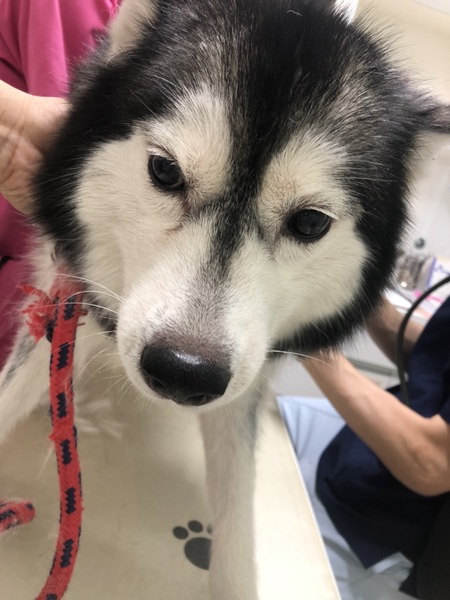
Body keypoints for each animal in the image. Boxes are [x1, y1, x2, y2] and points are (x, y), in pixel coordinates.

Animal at [1, 0, 449, 597]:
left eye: (310, 222)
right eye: (165, 170)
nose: (182, 371)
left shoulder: (245, 375)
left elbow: (238, 516)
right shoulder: (68, 291)